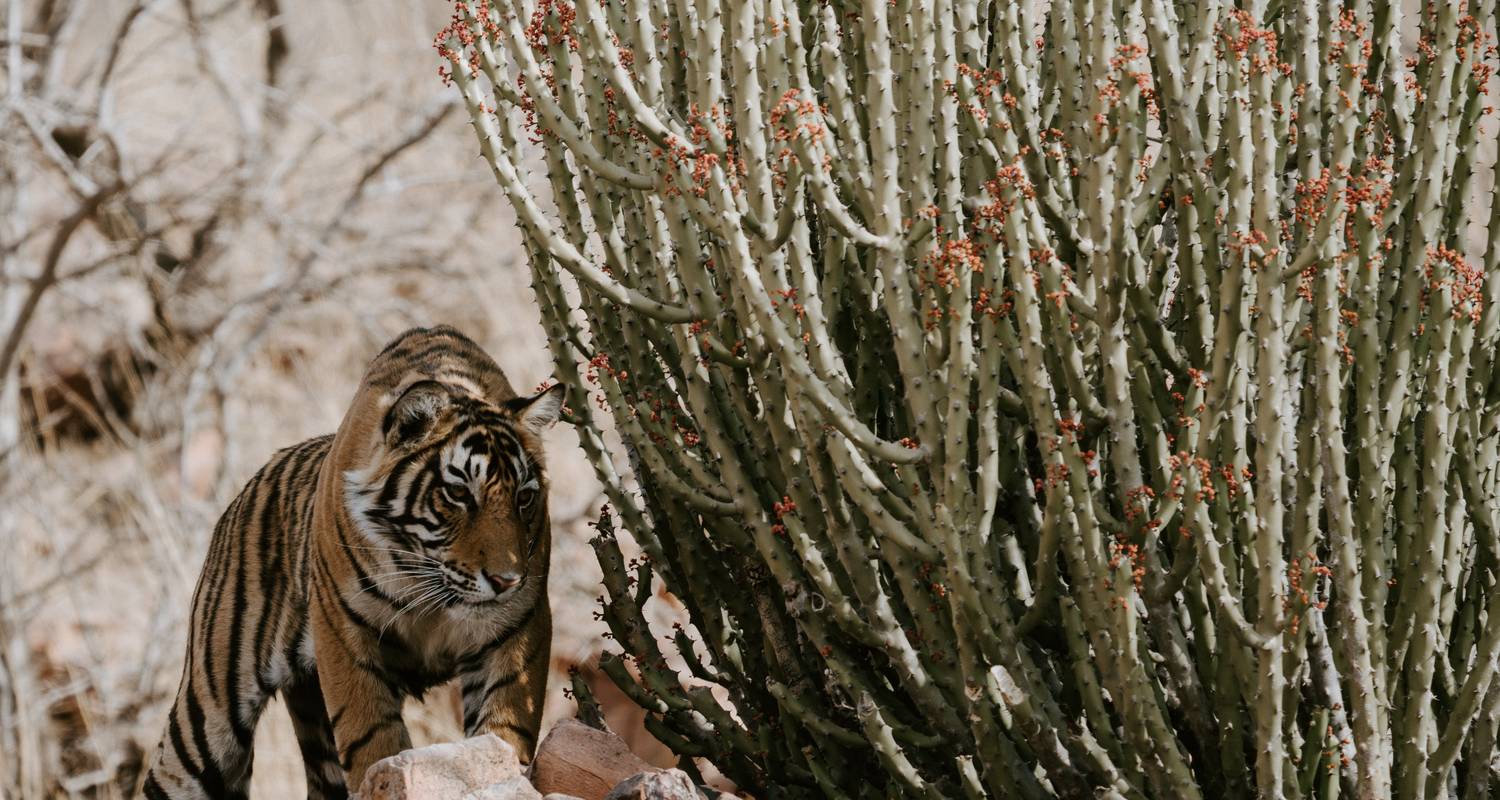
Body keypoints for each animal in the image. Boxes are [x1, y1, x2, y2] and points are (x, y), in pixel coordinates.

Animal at [141, 325, 564, 798]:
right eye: (458, 493)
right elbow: (372, 736)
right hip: (208, 712)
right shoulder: (343, 631)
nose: (506, 580)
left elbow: (505, 730)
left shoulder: (519, 626)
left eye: (523, 498)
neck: (427, 579)